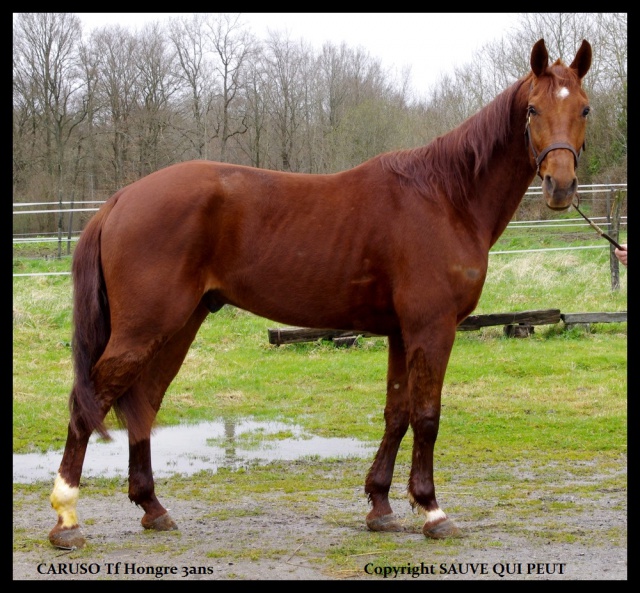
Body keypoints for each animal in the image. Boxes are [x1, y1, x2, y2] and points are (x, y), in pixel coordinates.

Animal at [47, 38, 592, 544]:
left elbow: (396, 414)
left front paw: (380, 506)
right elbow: (427, 416)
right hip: (146, 328)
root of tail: (120, 199)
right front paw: (432, 510)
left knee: (143, 402)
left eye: (584, 107)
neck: (445, 197)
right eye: (532, 109)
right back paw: (66, 518)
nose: (560, 186)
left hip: (178, 325)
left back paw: (153, 508)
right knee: (87, 402)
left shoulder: (400, 333)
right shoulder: (431, 328)